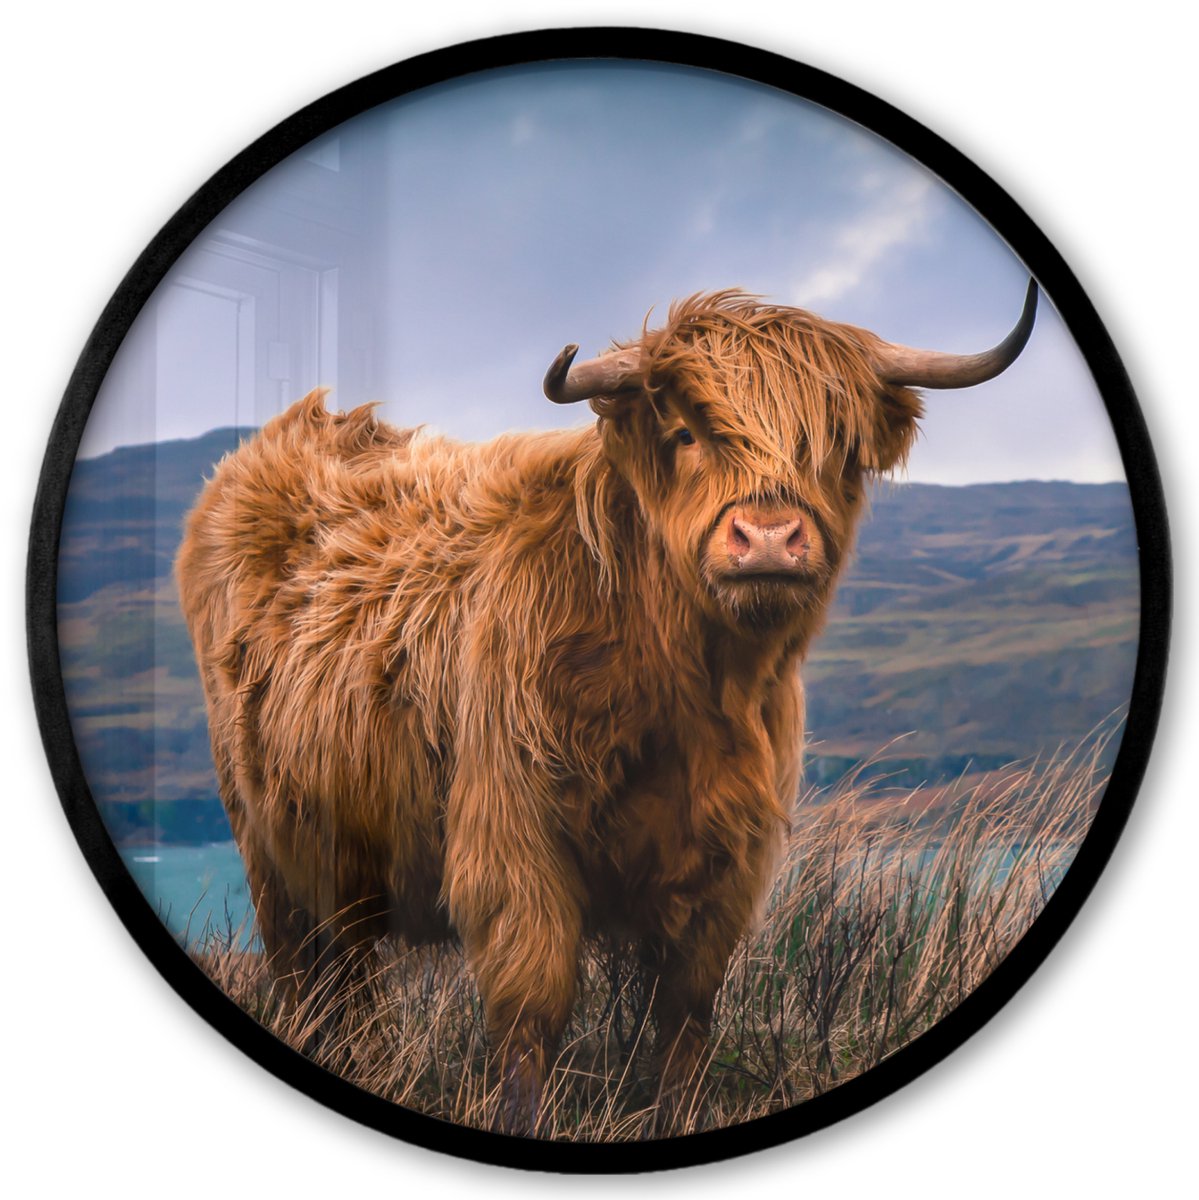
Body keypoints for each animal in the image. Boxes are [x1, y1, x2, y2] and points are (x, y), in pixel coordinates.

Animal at [176, 282, 1037, 1135]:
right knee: (313, 976)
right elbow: (531, 1008)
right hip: (271, 846)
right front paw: (526, 1121)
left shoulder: (727, 860)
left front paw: (675, 1116)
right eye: (685, 433)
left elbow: (685, 1013)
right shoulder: (513, 842)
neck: (684, 690)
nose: (765, 539)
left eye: (834, 447)